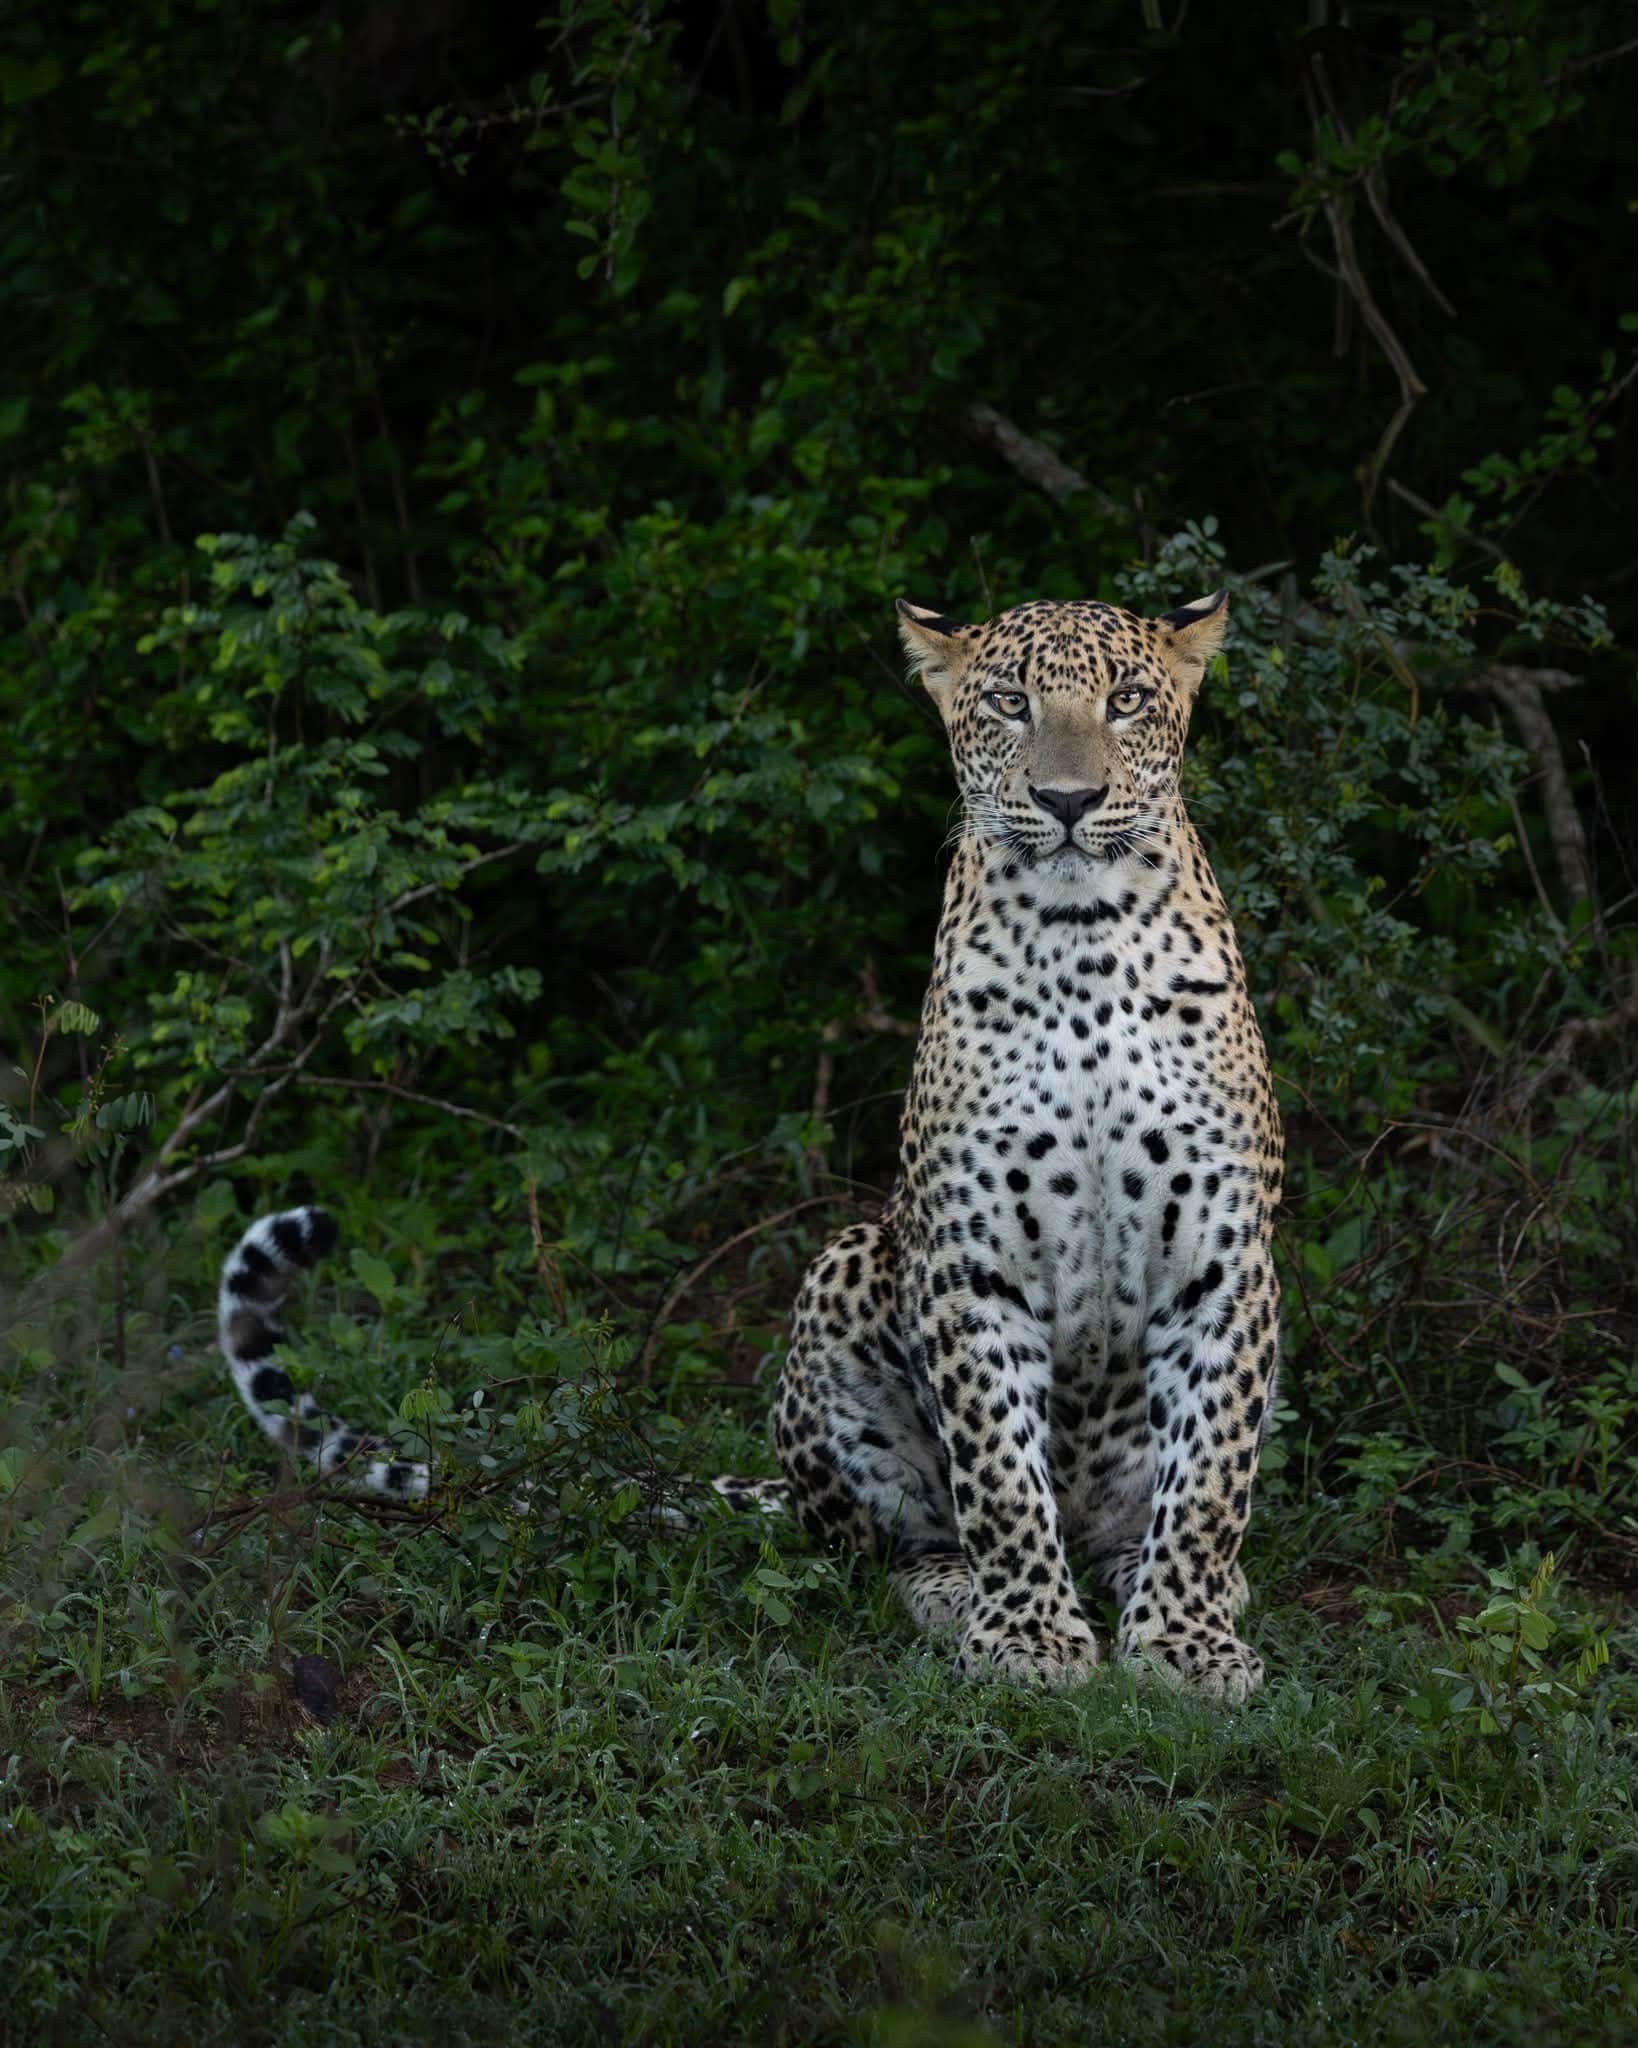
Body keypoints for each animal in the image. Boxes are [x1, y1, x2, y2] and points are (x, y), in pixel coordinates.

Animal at [770, 587, 1284, 1700]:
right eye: (1010, 702)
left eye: (1127, 700)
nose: (1068, 800)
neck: (1082, 936)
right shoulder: (970, 1259)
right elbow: (999, 1470)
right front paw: (1029, 1635)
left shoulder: (1225, 1258)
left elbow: (1212, 1474)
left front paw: (1184, 1642)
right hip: (848, 1261)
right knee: (892, 1538)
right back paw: (954, 1589)